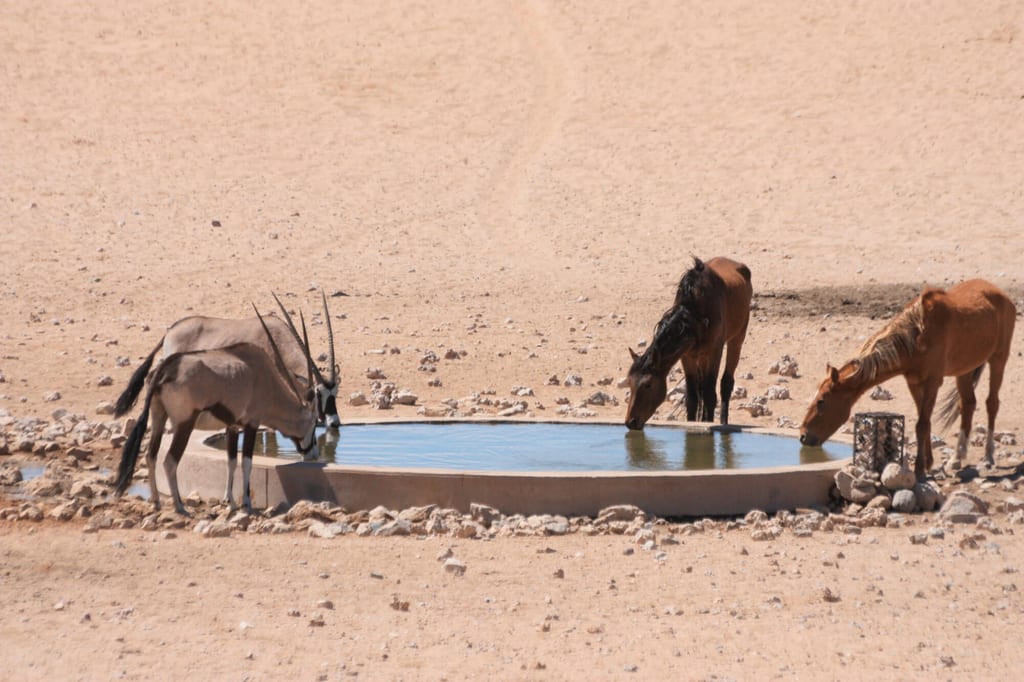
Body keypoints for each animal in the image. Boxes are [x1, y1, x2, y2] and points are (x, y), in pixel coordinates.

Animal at [625, 256, 752, 430]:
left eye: (648, 384)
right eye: (629, 383)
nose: (630, 422)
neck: (694, 315)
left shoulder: (714, 351)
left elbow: (710, 394)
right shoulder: (686, 355)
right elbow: (692, 397)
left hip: (737, 338)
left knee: (726, 383)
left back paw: (723, 422)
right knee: (701, 388)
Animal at [799, 279, 1016, 477]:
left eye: (822, 401)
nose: (803, 436)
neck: (916, 337)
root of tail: (1002, 294)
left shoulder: (933, 382)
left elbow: (922, 425)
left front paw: (919, 469)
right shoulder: (914, 382)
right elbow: (925, 423)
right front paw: (928, 463)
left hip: (998, 359)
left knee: (991, 403)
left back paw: (988, 457)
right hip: (963, 371)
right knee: (968, 404)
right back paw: (956, 458)